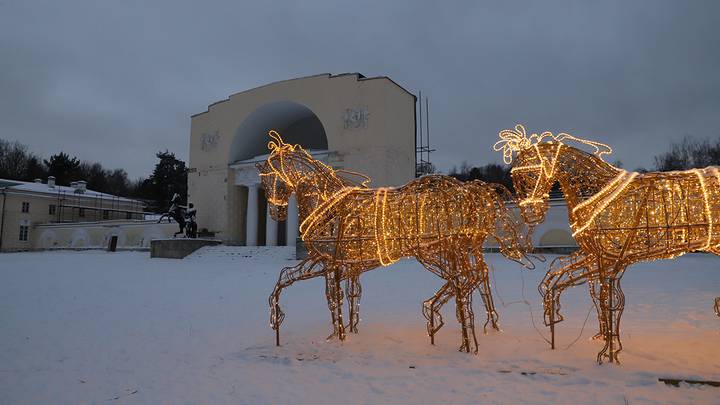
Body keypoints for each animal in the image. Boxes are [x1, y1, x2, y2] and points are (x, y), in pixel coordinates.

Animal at [260, 131, 536, 352]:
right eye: (264, 181)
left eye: (270, 178)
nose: (276, 213)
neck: (327, 202)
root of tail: (473, 190)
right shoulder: (343, 266)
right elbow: (332, 292)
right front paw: (345, 330)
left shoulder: (327, 262)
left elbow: (330, 298)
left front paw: (333, 334)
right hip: (462, 250)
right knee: (480, 278)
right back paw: (486, 326)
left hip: (435, 253)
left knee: (465, 280)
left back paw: (453, 328)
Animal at [498, 124, 720, 362]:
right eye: (515, 178)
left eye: (531, 173)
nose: (531, 215)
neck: (595, 193)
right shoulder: (595, 256)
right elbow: (561, 276)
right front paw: (555, 315)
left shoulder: (612, 262)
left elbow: (611, 302)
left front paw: (608, 352)